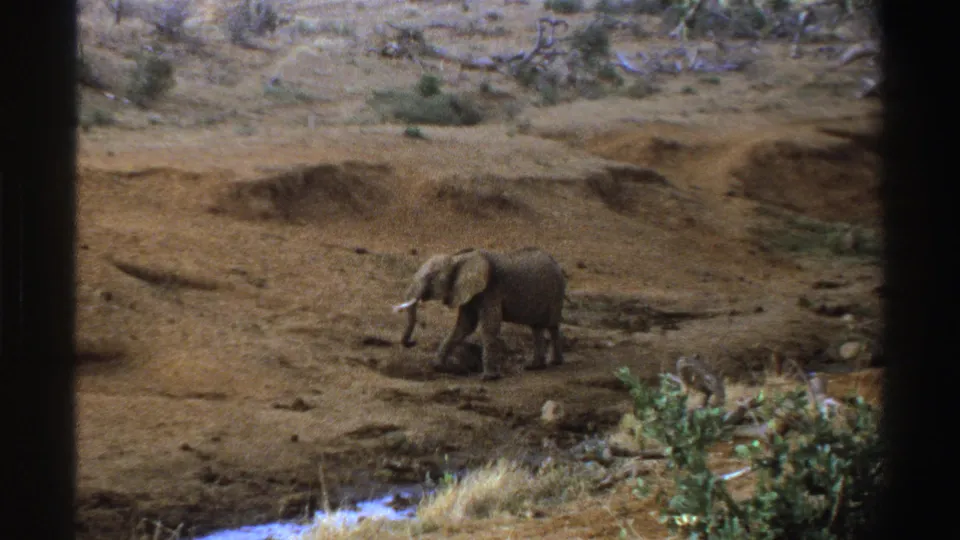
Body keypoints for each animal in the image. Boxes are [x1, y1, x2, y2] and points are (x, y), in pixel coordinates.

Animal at [393, 247, 566, 381]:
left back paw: (554, 363)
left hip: (556, 293)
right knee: (536, 327)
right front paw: (438, 366)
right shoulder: (467, 291)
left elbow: (489, 326)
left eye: (430, 277)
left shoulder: (491, 289)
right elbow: (465, 326)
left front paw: (489, 378)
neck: (458, 259)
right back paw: (535, 366)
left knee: (551, 326)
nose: (412, 342)